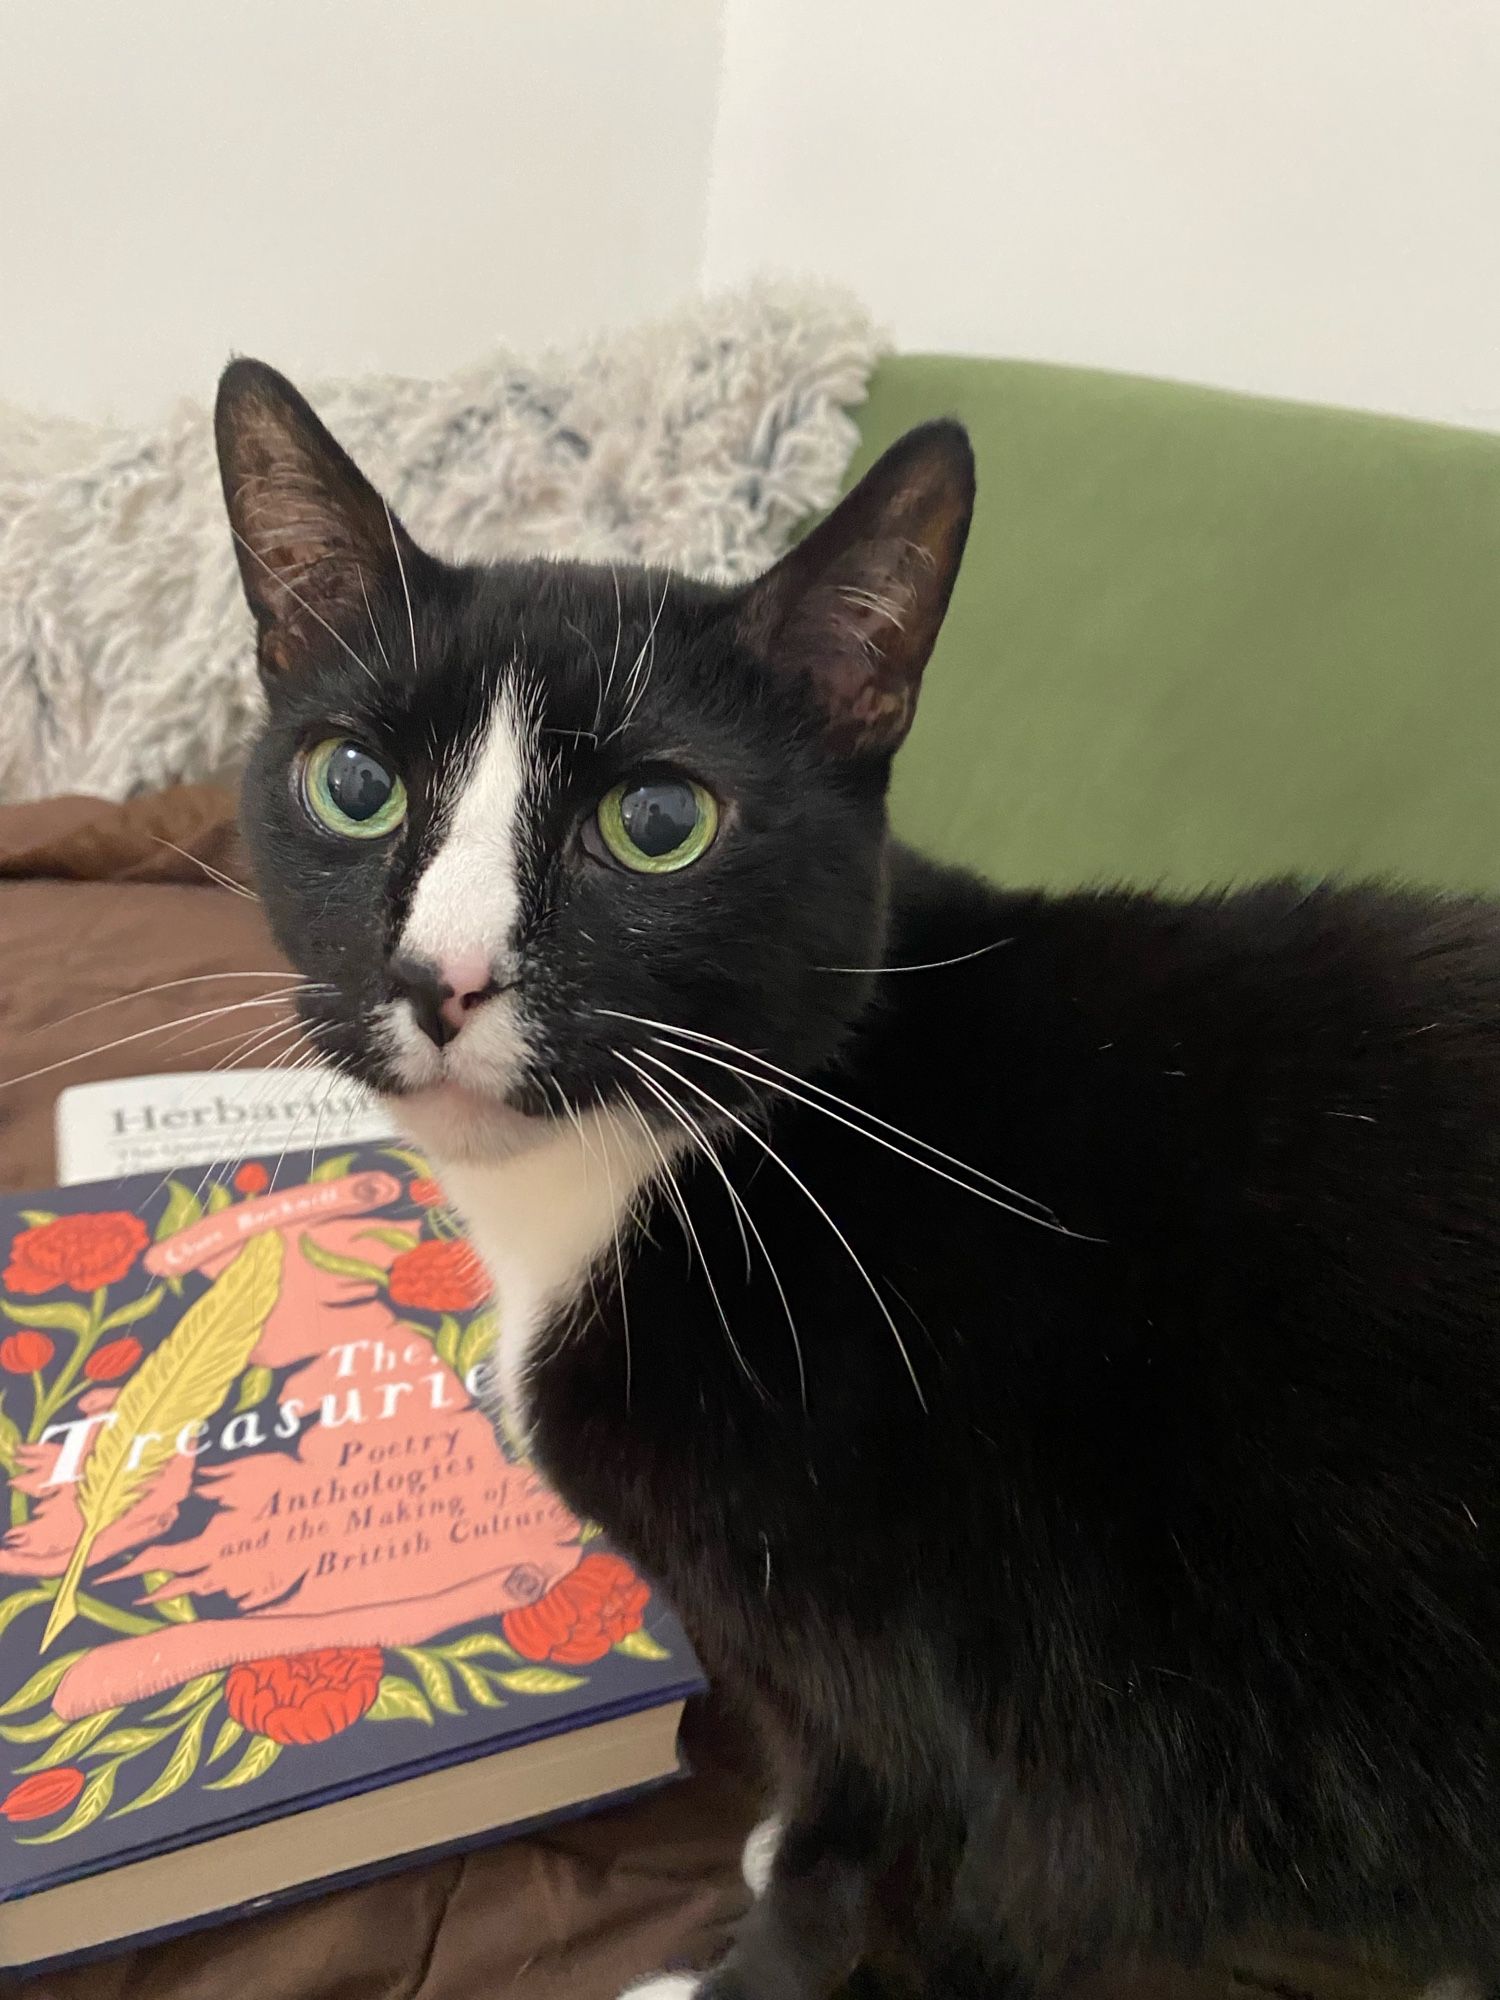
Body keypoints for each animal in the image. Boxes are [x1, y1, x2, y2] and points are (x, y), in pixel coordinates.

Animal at [214, 360, 1500, 2000]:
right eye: (354, 782)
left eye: (657, 822)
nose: (444, 975)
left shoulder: (939, 1700)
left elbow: (852, 1866)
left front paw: (730, 1965)